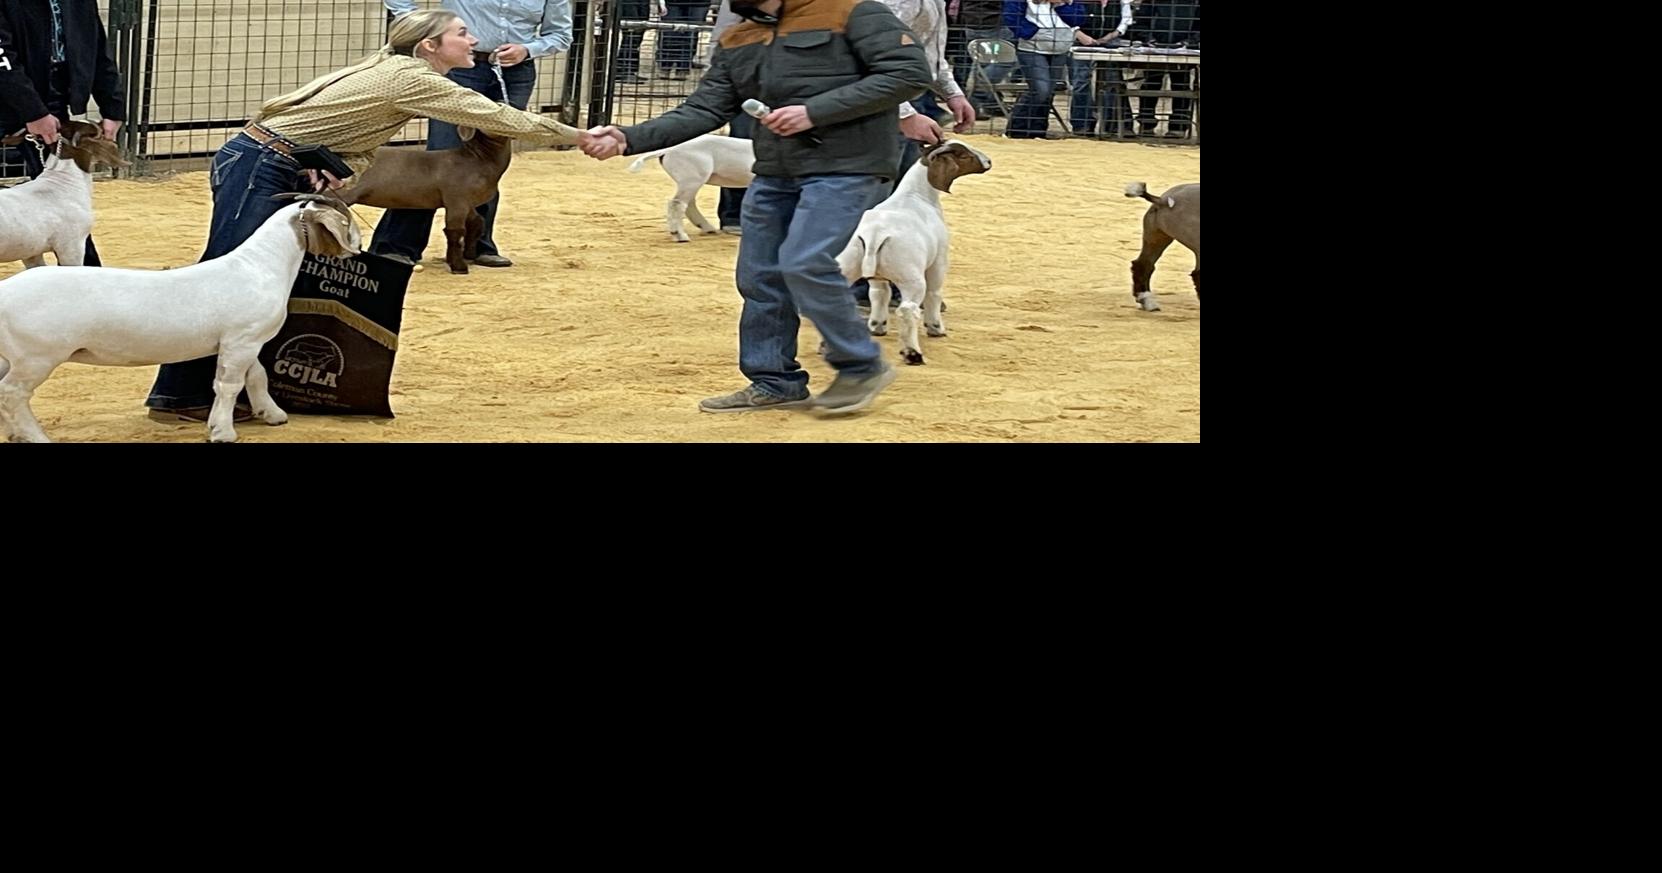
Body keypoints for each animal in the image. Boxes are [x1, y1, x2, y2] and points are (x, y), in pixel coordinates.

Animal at [0, 194, 360, 443]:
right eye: (345, 223)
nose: (356, 250)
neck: (258, 265)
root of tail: (5, 292)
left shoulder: (244, 342)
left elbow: (255, 377)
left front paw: (271, 415)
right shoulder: (241, 340)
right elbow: (229, 386)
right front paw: (223, 432)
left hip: (12, 355)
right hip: (37, 356)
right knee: (12, 392)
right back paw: (35, 436)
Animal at [343, 127, 510, 274]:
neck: (478, 160)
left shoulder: (467, 202)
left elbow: (477, 222)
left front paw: (468, 254)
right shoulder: (456, 199)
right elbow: (455, 232)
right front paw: (459, 266)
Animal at [626, 133, 755, 243]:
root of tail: (668, 149)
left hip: (691, 181)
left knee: (689, 204)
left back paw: (707, 228)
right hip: (692, 178)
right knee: (677, 204)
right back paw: (680, 235)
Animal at [835, 140, 991, 365]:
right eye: (963, 155)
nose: (989, 161)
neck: (915, 195)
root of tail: (874, 235)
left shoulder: (878, 278)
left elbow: (879, 295)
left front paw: (877, 326)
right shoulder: (938, 262)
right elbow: (934, 293)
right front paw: (936, 328)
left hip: (849, 264)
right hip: (911, 277)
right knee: (908, 310)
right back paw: (913, 353)